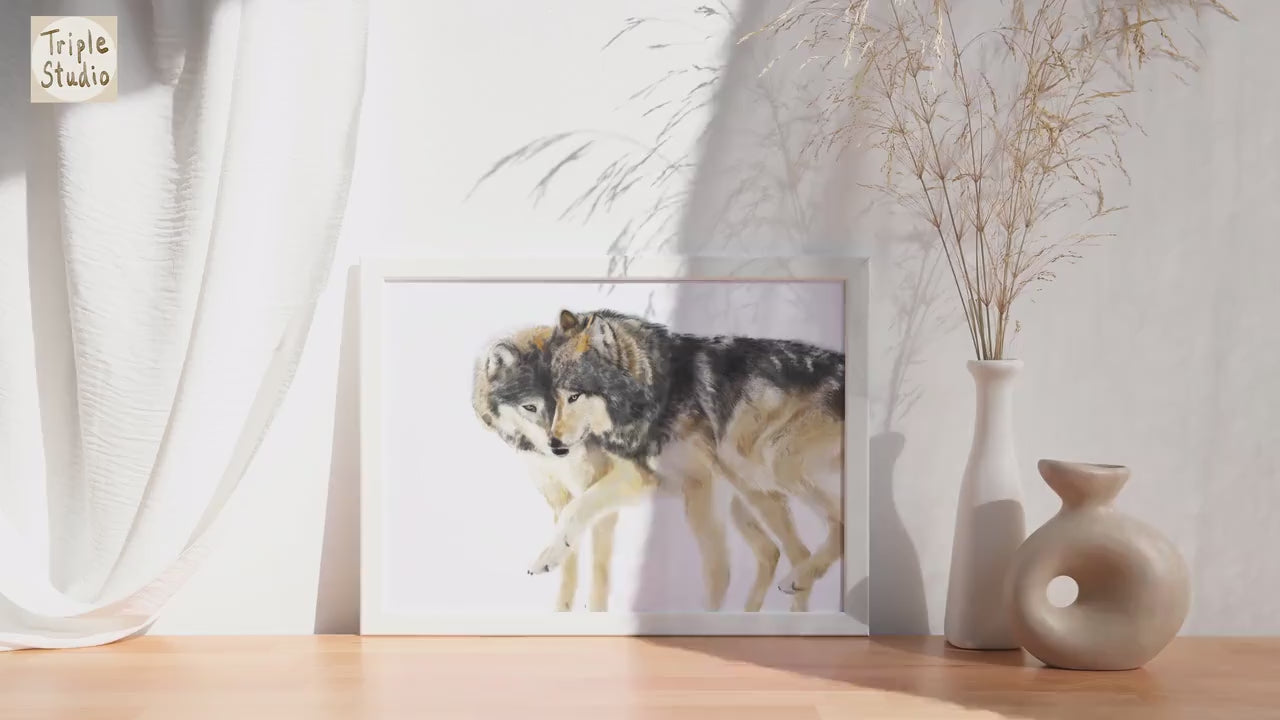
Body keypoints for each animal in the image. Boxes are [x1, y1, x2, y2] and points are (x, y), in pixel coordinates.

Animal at [472, 324, 773, 612]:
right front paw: (561, 608)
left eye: (571, 399)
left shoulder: (624, 485)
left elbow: (590, 548)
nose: (558, 447)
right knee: (771, 551)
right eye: (530, 407)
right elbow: (569, 559)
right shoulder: (559, 497)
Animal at [540, 308, 845, 608]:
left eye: (575, 396)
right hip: (747, 485)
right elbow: (576, 507)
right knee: (785, 551)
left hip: (770, 465)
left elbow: (717, 571)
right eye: (556, 397)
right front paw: (547, 557)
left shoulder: (700, 484)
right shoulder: (647, 478)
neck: (658, 394)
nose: (553, 445)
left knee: (836, 525)